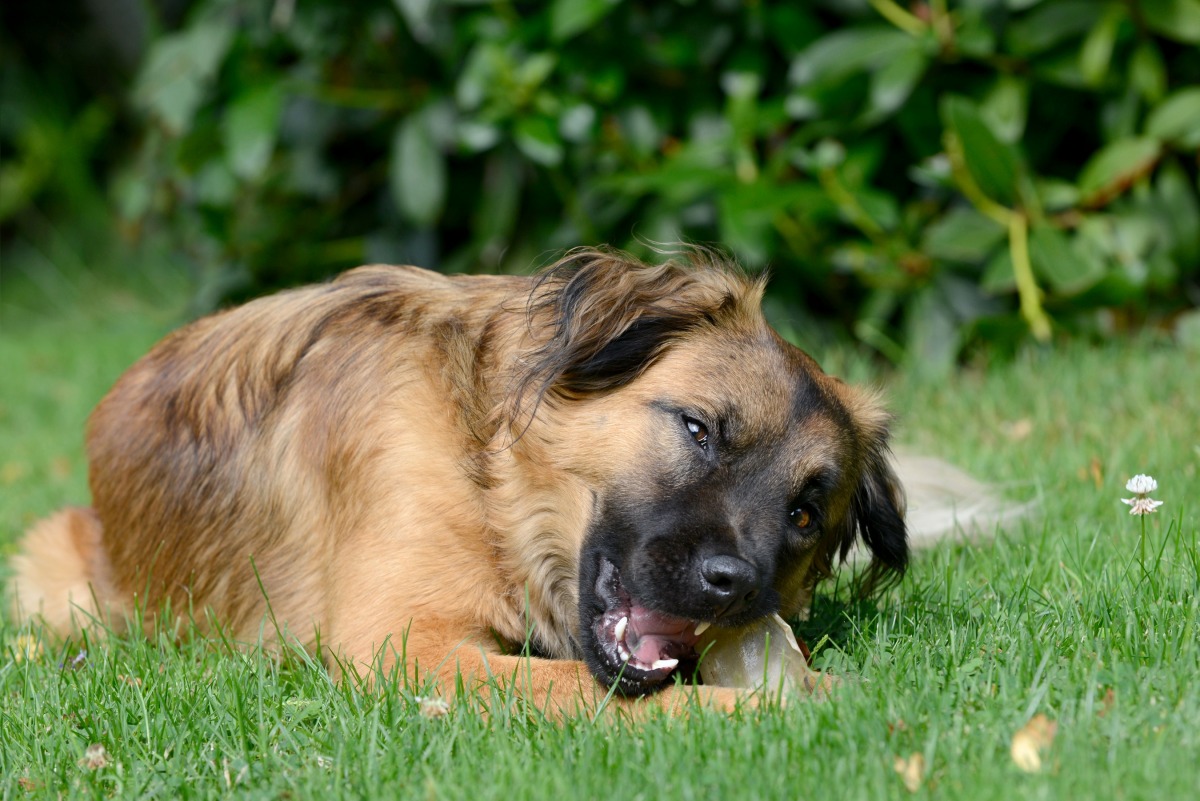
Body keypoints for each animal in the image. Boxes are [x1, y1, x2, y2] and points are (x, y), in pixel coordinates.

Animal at [11, 247, 907, 714]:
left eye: (804, 511)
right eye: (698, 429)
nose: (735, 583)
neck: (491, 482)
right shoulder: (403, 643)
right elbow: (589, 688)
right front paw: (789, 704)